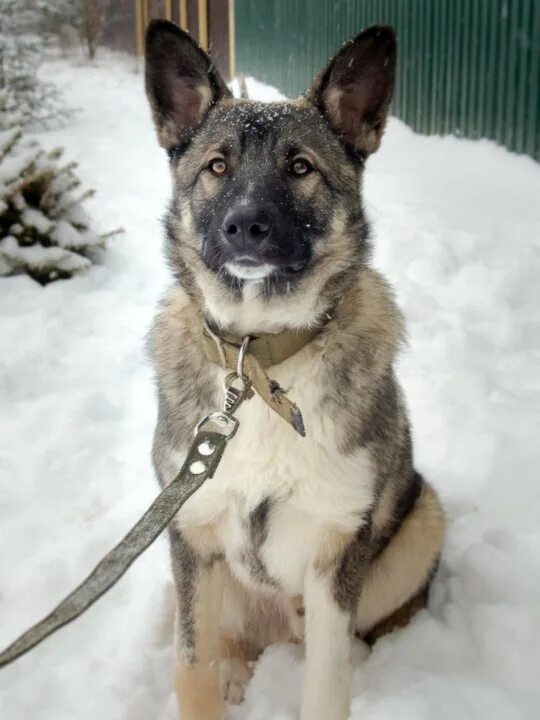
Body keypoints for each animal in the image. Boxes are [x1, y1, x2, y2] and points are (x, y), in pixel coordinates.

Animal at [146, 19, 446, 716]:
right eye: (217, 166)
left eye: (301, 167)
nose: (245, 227)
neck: (258, 356)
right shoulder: (190, 532)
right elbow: (190, 664)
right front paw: (208, 686)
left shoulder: (335, 546)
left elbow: (327, 681)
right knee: (225, 642)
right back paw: (236, 670)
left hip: (423, 518)